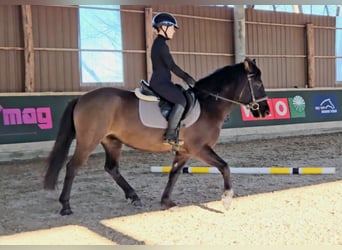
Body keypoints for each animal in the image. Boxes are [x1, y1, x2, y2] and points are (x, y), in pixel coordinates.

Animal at [43, 57, 270, 215]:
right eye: (258, 84)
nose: (266, 111)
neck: (208, 105)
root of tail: (81, 98)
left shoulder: (184, 151)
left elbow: (174, 174)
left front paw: (167, 202)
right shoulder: (199, 148)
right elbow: (224, 166)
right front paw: (227, 199)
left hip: (112, 141)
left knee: (112, 168)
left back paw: (133, 196)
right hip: (88, 141)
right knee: (73, 167)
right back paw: (66, 206)